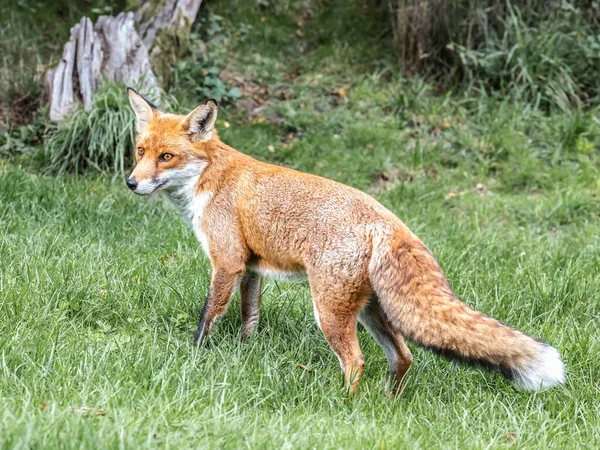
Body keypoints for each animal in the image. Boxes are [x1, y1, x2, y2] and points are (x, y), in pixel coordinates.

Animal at [126, 89, 568, 394]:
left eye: (167, 157)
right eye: (140, 151)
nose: (131, 183)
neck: (208, 180)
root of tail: (388, 220)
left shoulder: (227, 262)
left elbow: (207, 319)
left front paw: (194, 357)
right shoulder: (251, 268)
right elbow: (249, 320)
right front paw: (243, 353)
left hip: (329, 310)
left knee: (356, 362)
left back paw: (344, 407)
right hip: (373, 311)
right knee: (403, 356)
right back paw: (388, 404)